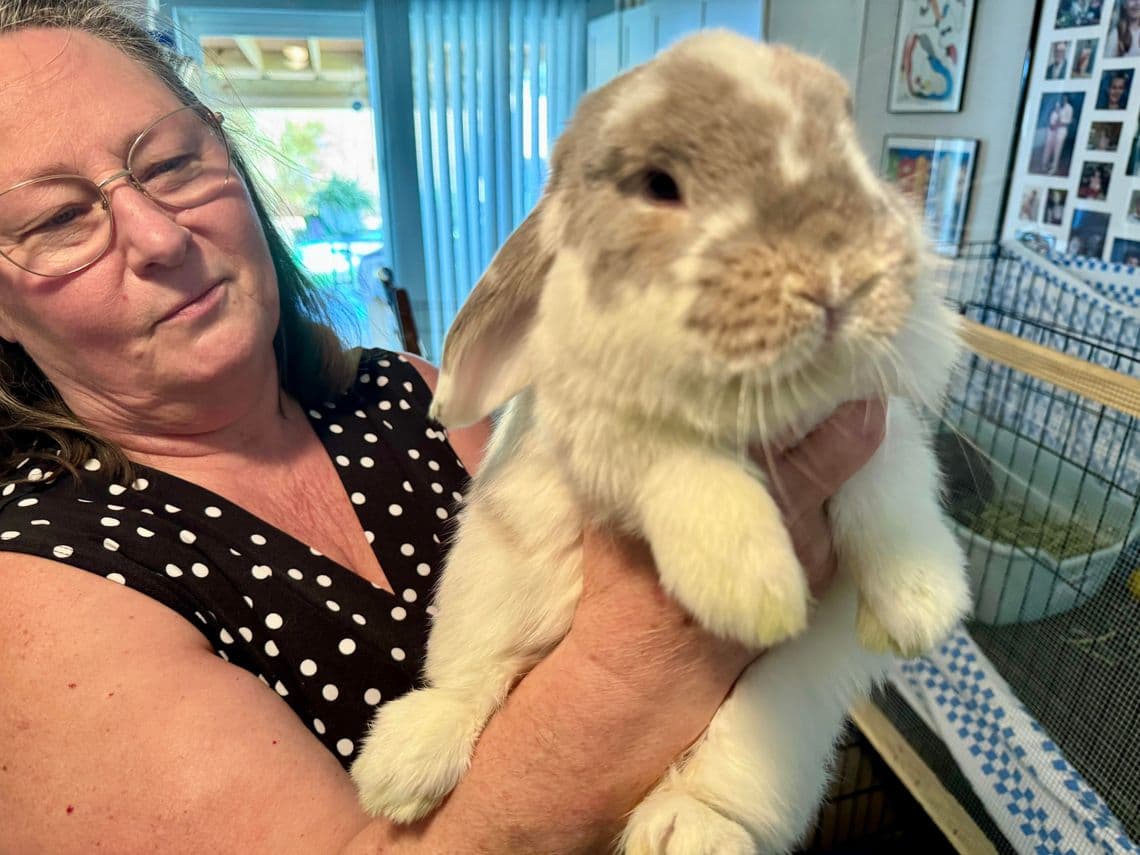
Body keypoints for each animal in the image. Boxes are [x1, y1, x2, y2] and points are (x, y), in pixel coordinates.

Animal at [351, 30, 971, 855]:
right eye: (657, 184)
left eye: (849, 141)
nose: (836, 275)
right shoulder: (602, 430)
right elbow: (686, 472)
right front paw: (754, 590)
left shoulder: (877, 422)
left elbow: (890, 495)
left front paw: (919, 609)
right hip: (481, 611)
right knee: (469, 686)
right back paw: (401, 768)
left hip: (772, 731)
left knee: (721, 789)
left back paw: (687, 829)